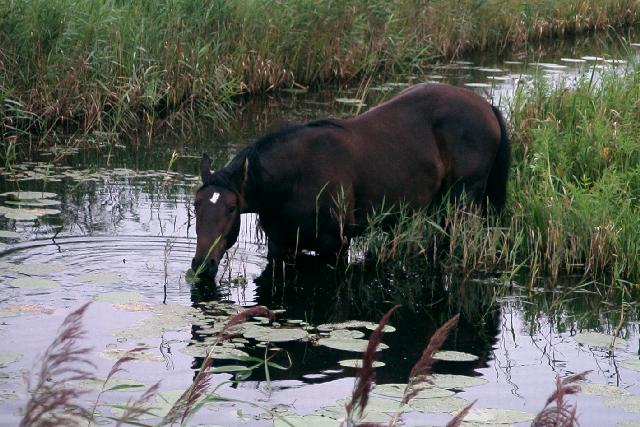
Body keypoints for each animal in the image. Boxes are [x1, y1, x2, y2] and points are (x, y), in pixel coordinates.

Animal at [191, 83, 509, 278]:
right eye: (196, 206)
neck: (294, 180)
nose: (201, 266)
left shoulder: (335, 247)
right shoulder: (280, 247)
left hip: (464, 203)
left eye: (231, 209)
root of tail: (487, 107)